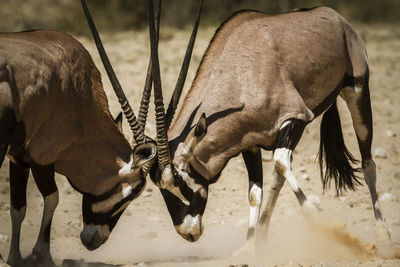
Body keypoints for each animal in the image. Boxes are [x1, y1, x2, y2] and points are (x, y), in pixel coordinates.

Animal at [145, 4, 396, 254]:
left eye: (178, 181)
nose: (187, 233)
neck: (239, 77)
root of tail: (336, 17)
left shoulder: (296, 118)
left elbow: (280, 162)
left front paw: (327, 226)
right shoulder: (250, 144)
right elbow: (255, 192)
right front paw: (248, 247)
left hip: (357, 91)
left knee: (367, 163)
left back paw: (383, 236)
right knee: (278, 178)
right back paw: (264, 236)